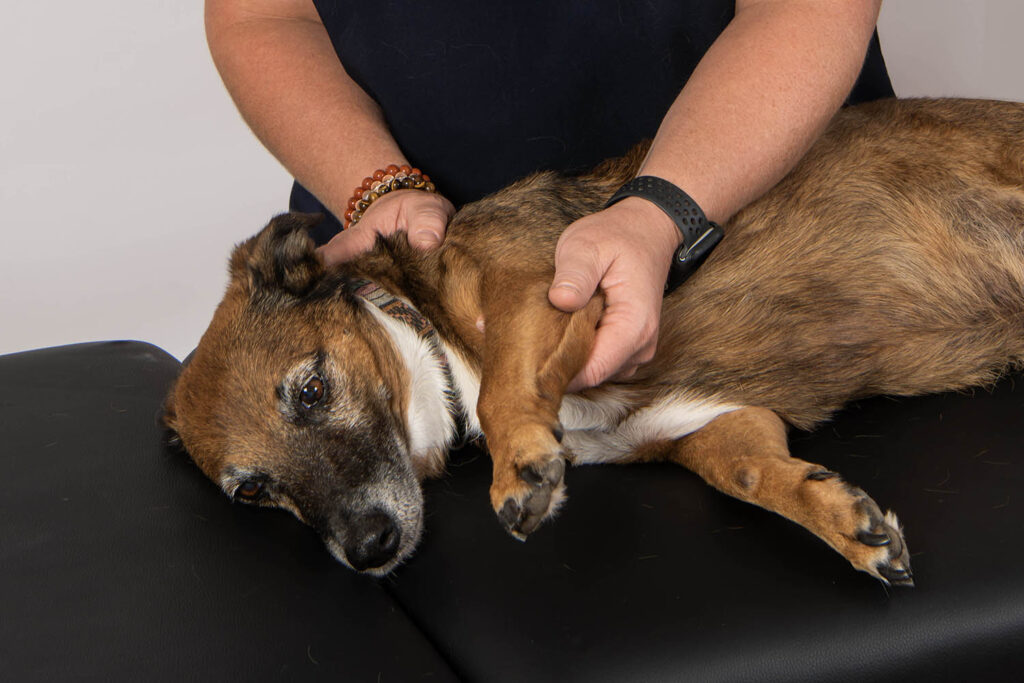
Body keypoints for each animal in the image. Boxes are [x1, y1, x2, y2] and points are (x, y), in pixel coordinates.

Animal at [163, 98, 1024, 585]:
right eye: (252, 492)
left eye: (312, 390)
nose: (370, 550)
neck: (429, 333)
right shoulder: (710, 421)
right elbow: (748, 472)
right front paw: (842, 518)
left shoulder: (553, 283)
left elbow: (504, 387)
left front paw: (518, 465)